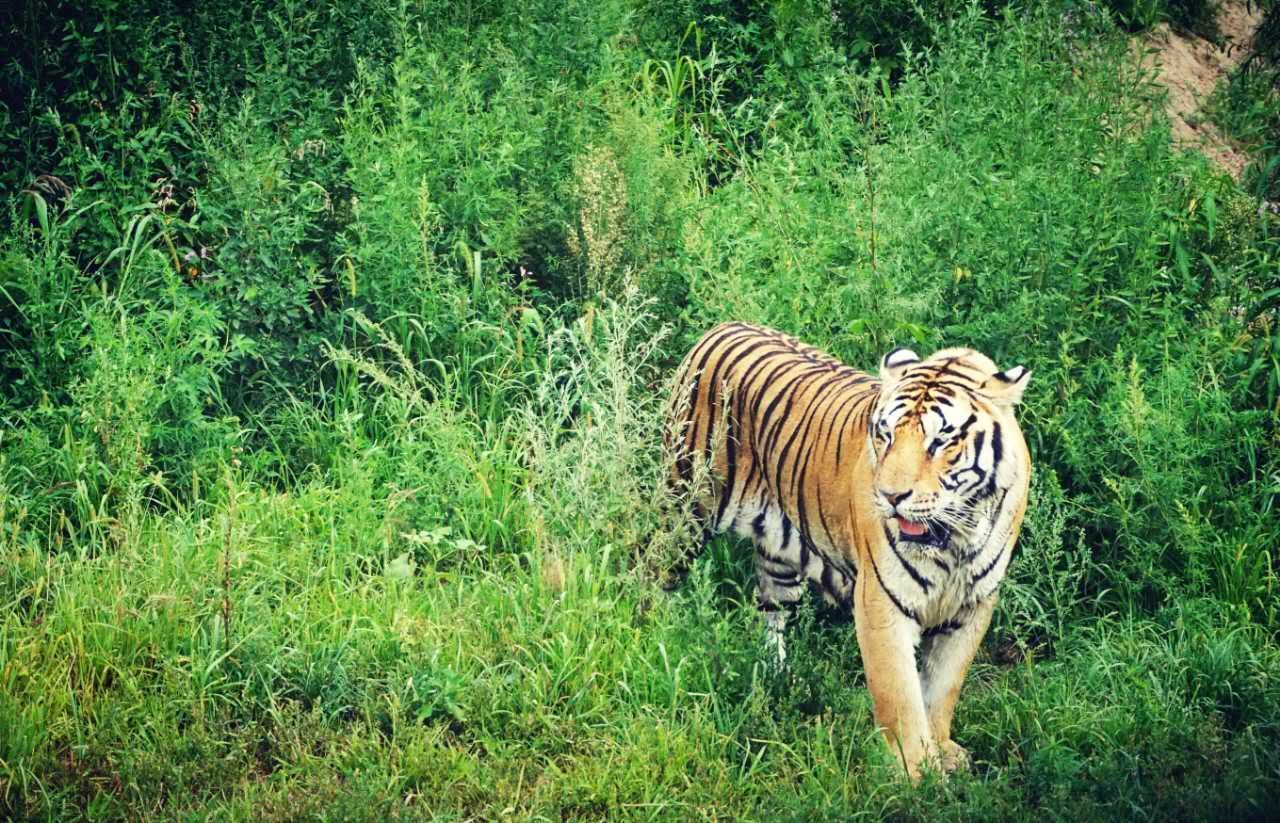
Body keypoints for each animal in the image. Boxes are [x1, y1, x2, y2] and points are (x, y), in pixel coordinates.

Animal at [660, 319, 1029, 778]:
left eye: (940, 442)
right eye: (885, 434)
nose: (890, 496)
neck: (955, 538)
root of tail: (722, 326)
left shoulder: (973, 607)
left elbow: (942, 689)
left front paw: (943, 753)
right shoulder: (882, 604)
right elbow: (900, 697)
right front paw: (917, 773)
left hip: (779, 554)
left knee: (771, 612)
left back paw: (780, 679)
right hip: (684, 507)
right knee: (647, 571)